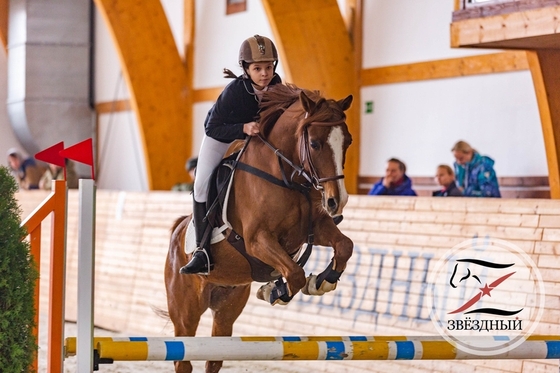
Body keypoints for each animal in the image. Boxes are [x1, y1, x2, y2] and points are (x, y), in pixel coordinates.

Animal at [164, 84, 352, 372]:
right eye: (314, 143)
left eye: (348, 141)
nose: (336, 201)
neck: (286, 177)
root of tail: (177, 231)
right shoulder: (257, 240)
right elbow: (294, 273)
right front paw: (275, 291)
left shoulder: (314, 228)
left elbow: (344, 246)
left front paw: (322, 282)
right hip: (185, 310)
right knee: (183, 355)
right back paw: (198, 260)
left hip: (226, 305)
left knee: (214, 356)